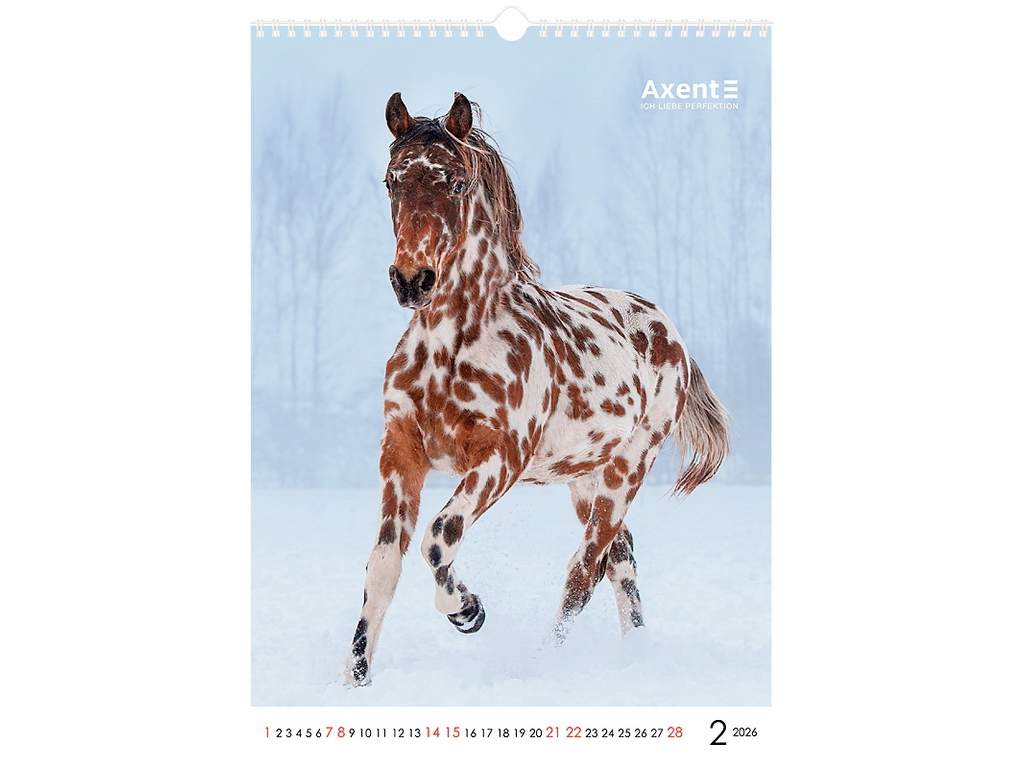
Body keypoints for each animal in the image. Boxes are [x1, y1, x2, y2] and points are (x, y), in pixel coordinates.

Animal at [344, 92, 729, 686]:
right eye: (391, 181)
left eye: (458, 182)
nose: (412, 280)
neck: (452, 348)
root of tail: (669, 329)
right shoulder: (401, 451)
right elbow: (384, 566)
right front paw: (355, 677)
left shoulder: (500, 457)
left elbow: (439, 536)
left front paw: (468, 610)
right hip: (585, 479)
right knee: (619, 559)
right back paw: (633, 650)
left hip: (626, 471)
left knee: (583, 571)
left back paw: (542, 663)